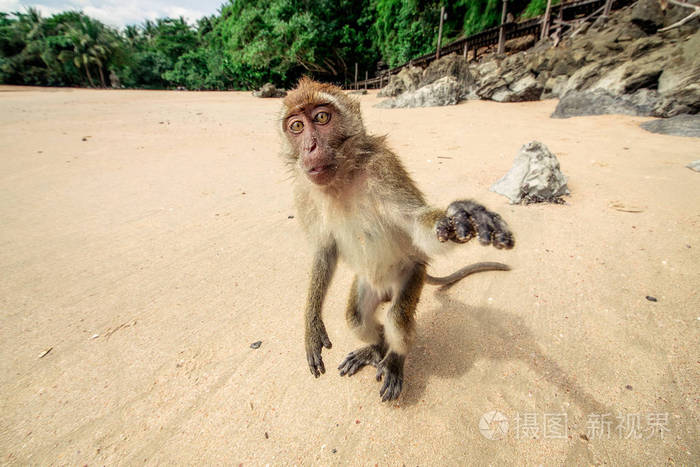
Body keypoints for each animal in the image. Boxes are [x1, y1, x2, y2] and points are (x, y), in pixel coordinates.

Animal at [278, 77, 516, 402]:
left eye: (322, 117)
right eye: (297, 126)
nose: (310, 146)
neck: (341, 179)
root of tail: (387, 291)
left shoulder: (384, 168)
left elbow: (416, 224)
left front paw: (461, 216)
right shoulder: (304, 192)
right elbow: (324, 250)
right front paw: (312, 324)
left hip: (412, 274)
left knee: (397, 318)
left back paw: (394, 359)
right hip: (368, 285)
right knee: (356, 316)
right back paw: (375, 348)